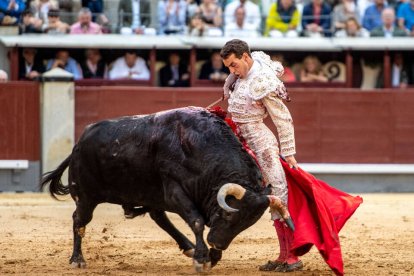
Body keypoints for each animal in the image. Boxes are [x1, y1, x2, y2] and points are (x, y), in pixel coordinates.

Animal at [39, 106, 292, 270]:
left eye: (246, 224)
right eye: (230, 217)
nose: (217, 244)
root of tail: (79, 143)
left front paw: (210, 255)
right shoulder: (174, 192)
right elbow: (197, 221)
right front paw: (203, 257)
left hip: (149, 194)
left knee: (158, 217)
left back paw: (188, 247)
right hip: (85, 197)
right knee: (79, 221)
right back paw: (77, 260)